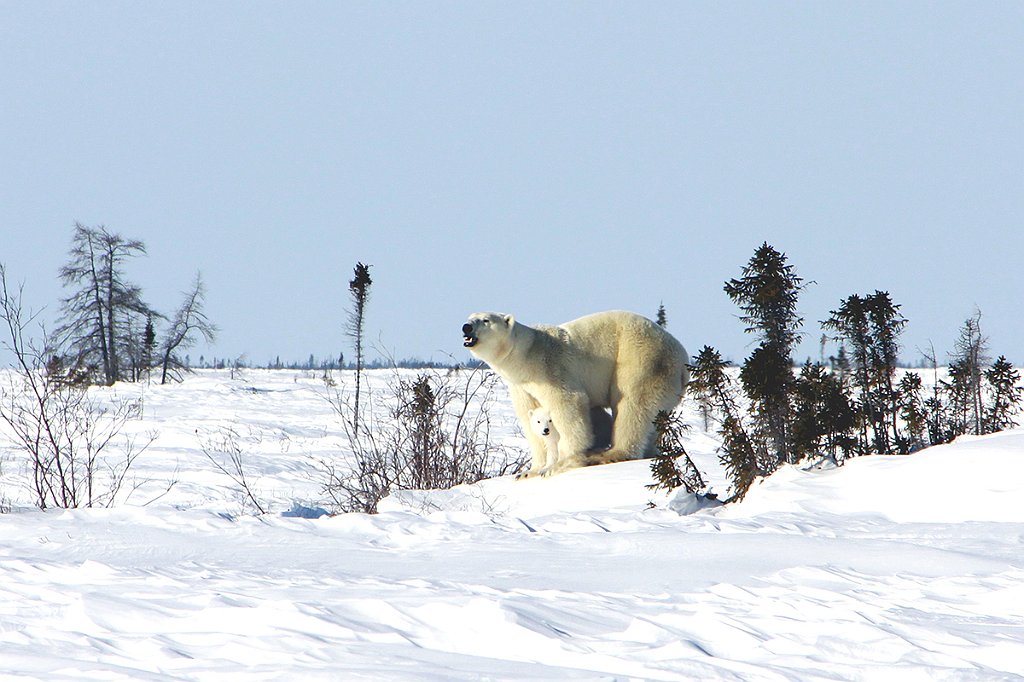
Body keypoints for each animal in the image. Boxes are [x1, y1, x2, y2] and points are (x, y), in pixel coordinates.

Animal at [462, 311, 688, 475]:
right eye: (469, 317)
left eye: (485, 320)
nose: (466, 327)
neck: (526, 354)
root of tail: (683, 363)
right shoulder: (521, 386)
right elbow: (530, 419)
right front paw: (530, 471)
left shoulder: (550, 369)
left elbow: (569, 404)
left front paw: (562, 463)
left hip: (642, 359)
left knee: (632, 406)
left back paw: (610, 453)